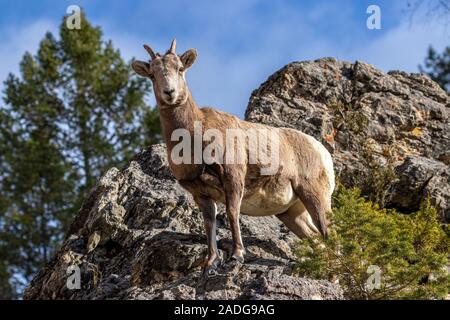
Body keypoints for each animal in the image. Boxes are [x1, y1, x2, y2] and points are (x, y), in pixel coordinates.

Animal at [132, 39, 336, 276]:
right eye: (152, 75)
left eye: (180, 69)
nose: (169, 93)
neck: (194, 136)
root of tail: (322, 153)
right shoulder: (201, 193)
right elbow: (209, 223)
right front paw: (211, 264)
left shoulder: (233, 177)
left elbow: (232, 213)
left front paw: (237, 255)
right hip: (292, 213)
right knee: (317, 240)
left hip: (315, 197)